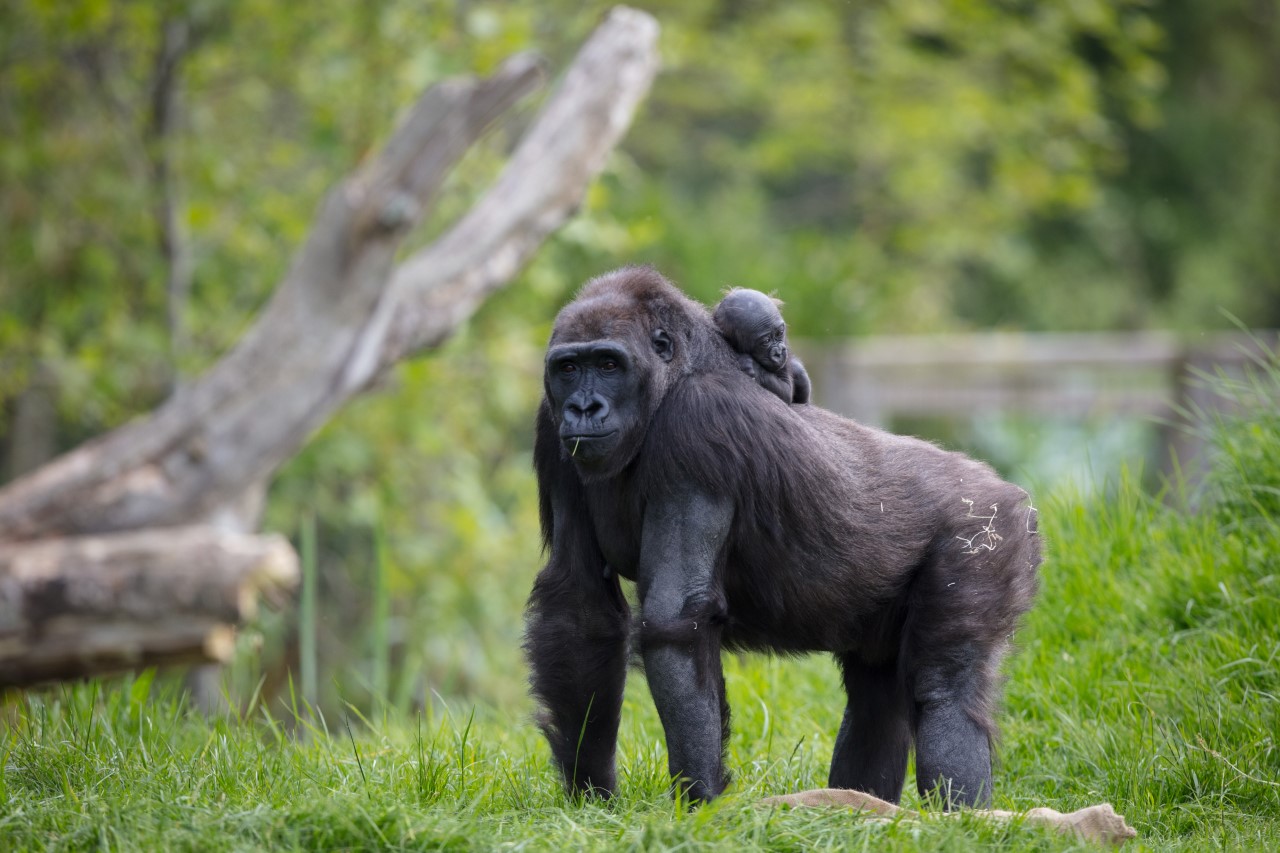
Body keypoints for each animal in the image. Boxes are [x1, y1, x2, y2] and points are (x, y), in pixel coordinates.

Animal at [524, 263, 1034, 804]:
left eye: (608, 364)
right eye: (568, 369)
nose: (584, 408)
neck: (677, 373)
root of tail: (1003, 487)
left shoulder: (698, 424)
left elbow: (674, 620)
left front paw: (701, 800)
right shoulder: (549, 427)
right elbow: (579, 607)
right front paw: (590, 795)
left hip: (987, 531)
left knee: (945, 691)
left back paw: (961, 813)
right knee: (877, 699)